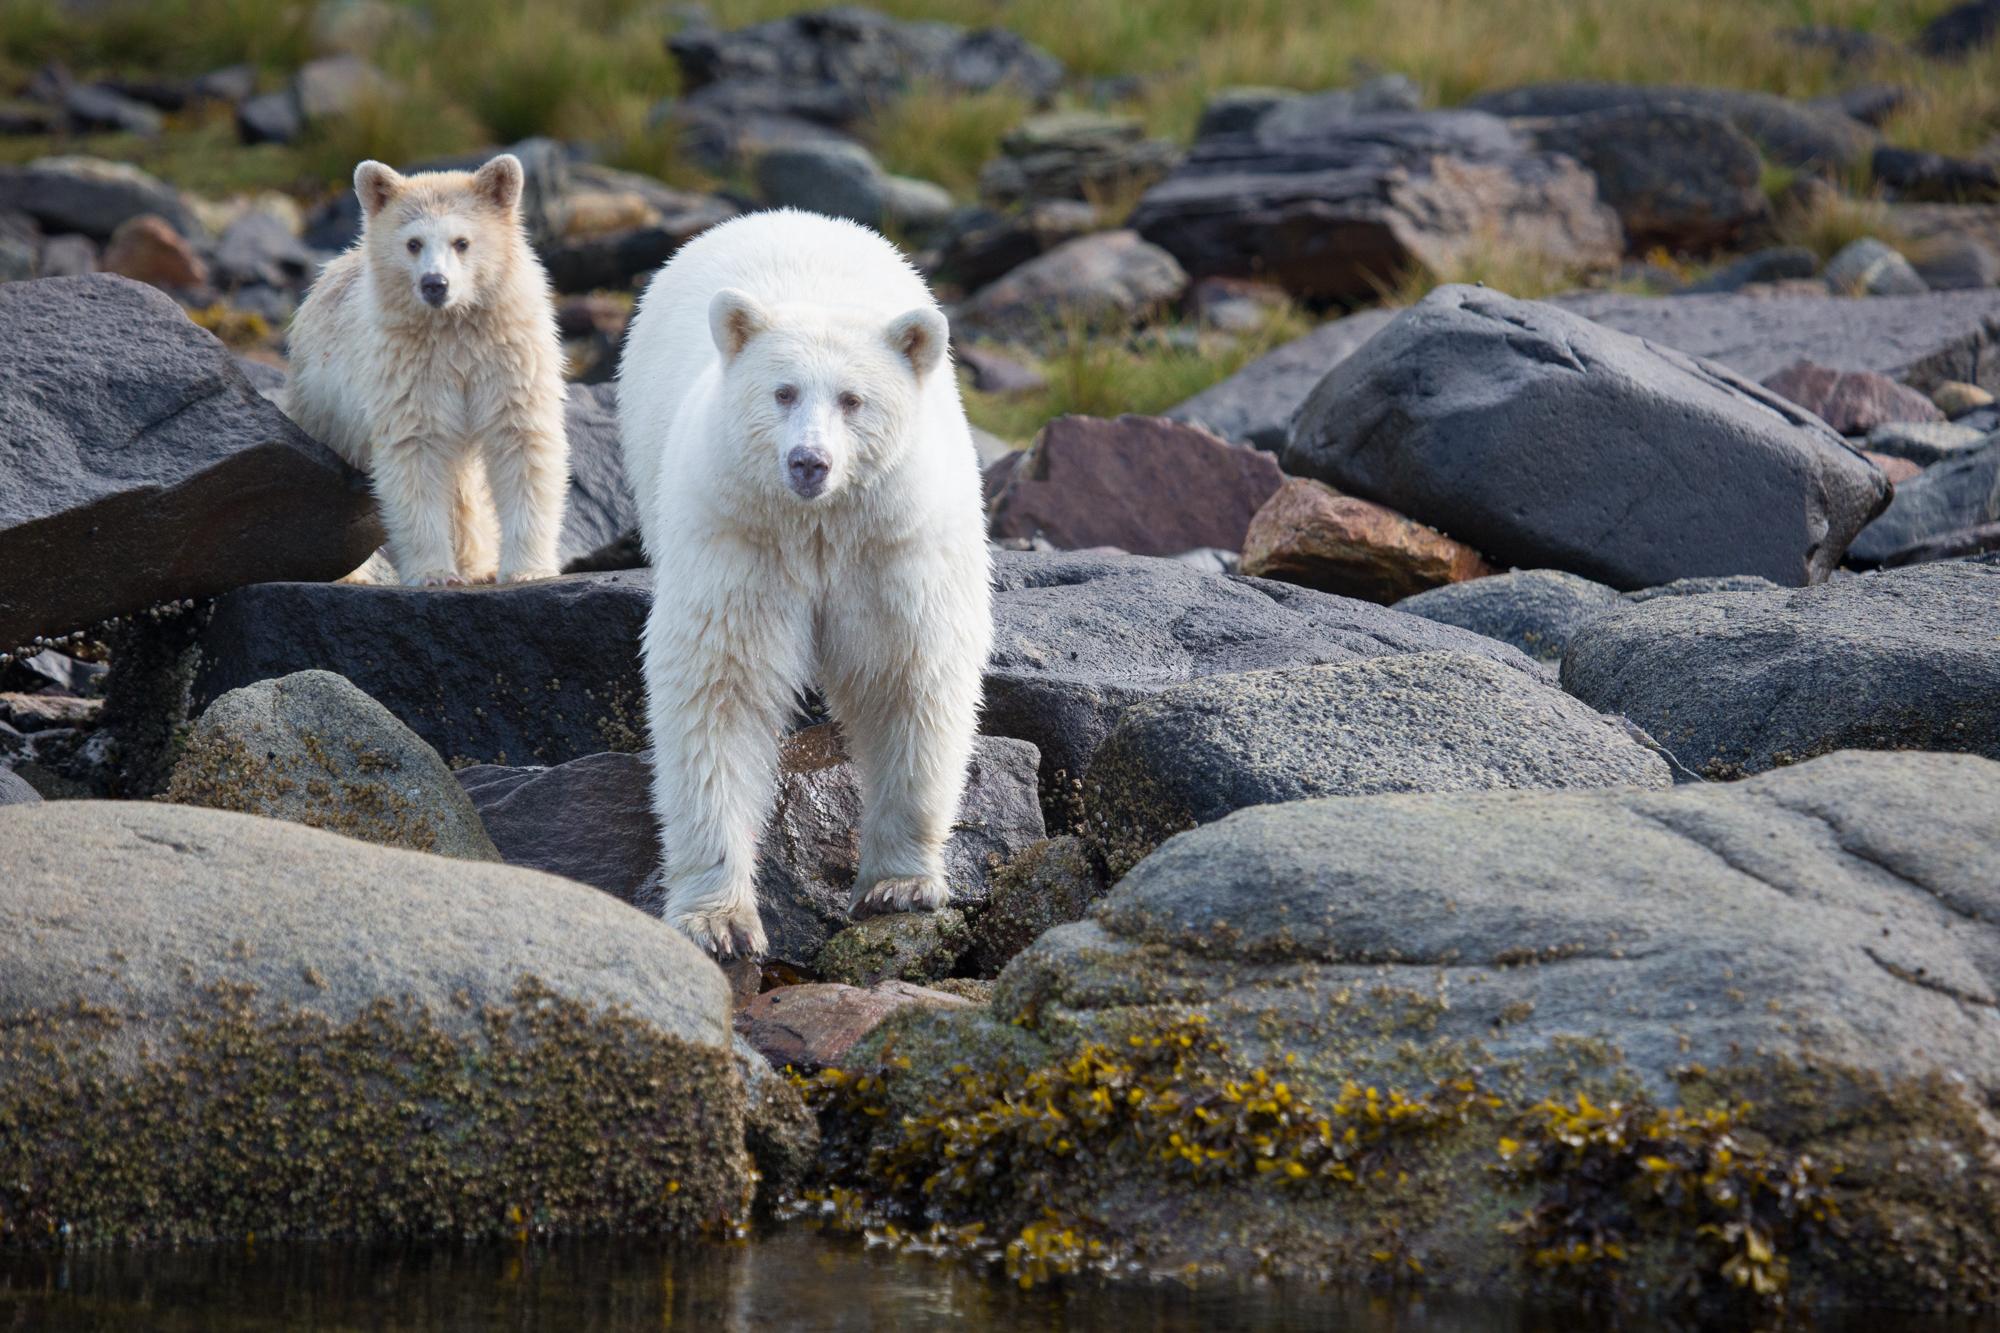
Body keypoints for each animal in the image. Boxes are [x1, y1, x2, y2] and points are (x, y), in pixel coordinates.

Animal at [286, 154, 569, 586]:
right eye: (413, 243)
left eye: (462, 242)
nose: (435, 284)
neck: (452, 327)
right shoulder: (410, 369)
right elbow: (417, 453)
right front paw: (434, 573)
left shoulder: (507, 356)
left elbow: (522, 440)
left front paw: (527, 569)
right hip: (322, 400)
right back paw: (349, 575)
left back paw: (478, 565)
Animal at [618, 209, 994, 957]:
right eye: (783, 391)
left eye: (853, 400)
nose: (808, 462)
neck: (819, 528)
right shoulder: (741, 536)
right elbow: (721, 684)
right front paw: (719, 919)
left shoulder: (891, 543)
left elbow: (910, 672)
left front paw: (899, 884)